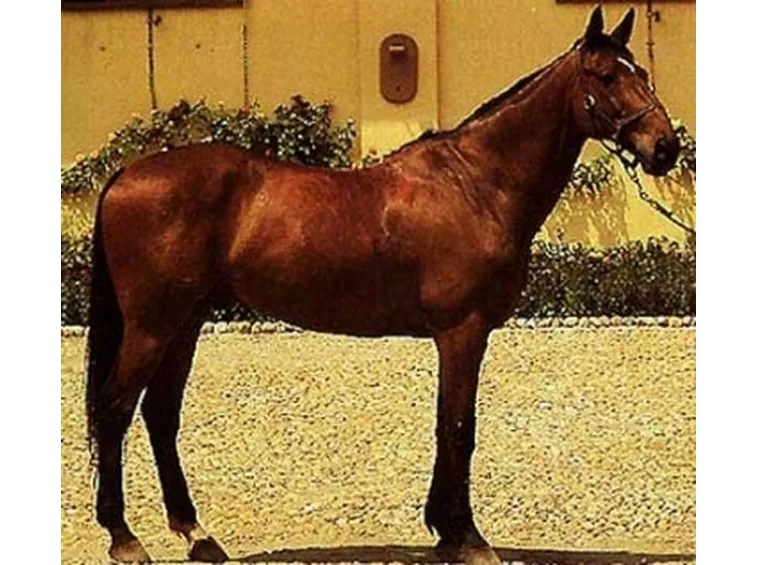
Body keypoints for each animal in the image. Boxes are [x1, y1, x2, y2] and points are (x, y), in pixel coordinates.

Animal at [85, 6, 680, 564]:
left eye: (641, 70)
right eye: (605, 75)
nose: (666, 148)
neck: (477, 184)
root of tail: (127, 173)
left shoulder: (459, 335)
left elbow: (447, 426)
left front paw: (444, 532)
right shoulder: (462, 332)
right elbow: (458, 427)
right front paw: (467, 537)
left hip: (184, 322)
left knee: (160, 414)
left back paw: (197, 535)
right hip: (152, 325)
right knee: (115, 409)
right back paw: (124, 538)